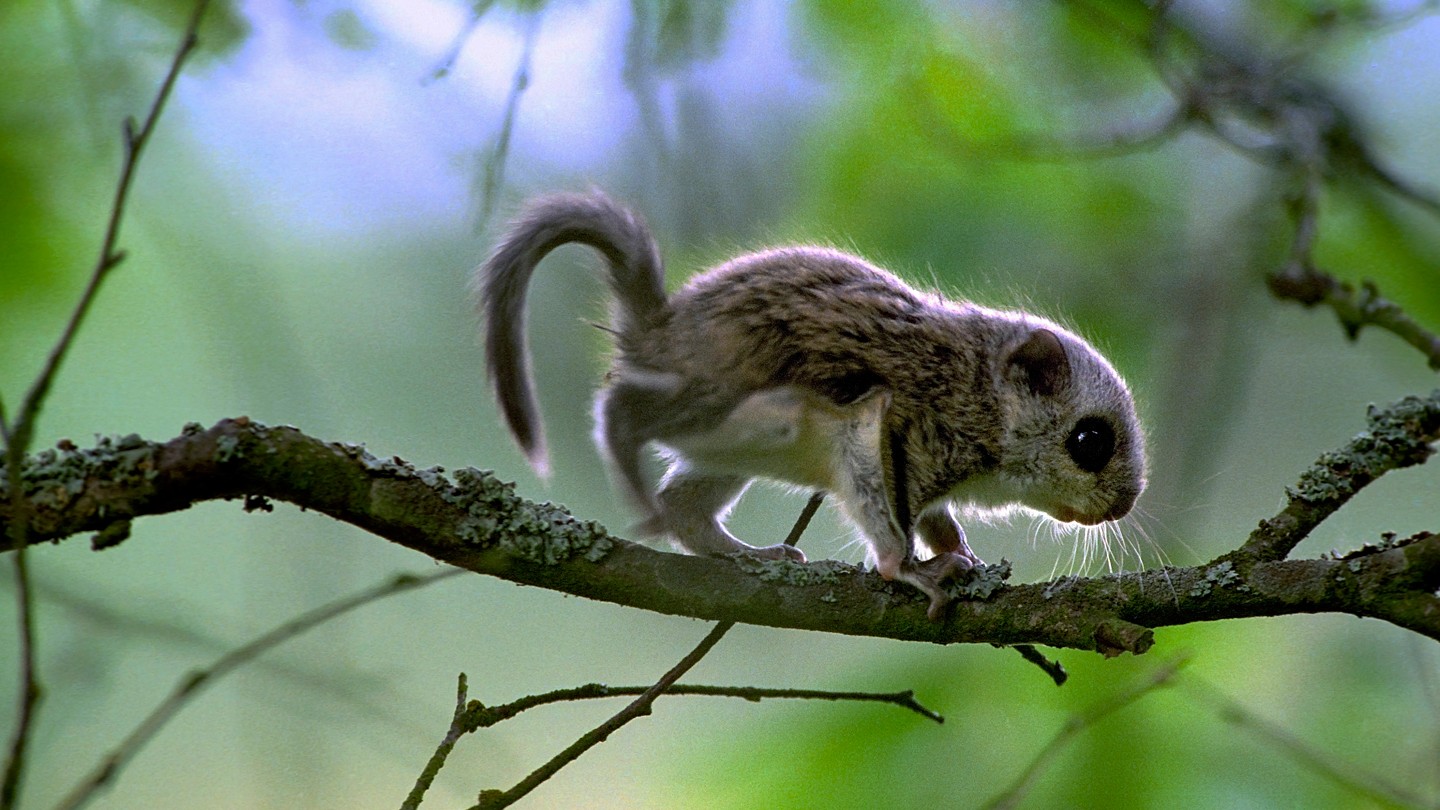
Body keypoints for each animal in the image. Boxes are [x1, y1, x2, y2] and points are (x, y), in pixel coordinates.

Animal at [480, 190, 1146, 616]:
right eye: (1091, 441)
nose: (1123, 506)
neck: (977, 390)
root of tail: (655, 329)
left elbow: (935, 520)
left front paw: (960, 551)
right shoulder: (880, 427)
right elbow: (888, 524)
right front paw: (910, 569)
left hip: (731, 447)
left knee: (683, 506)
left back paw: (747, 555)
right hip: (736, 404)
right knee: (621, 411)